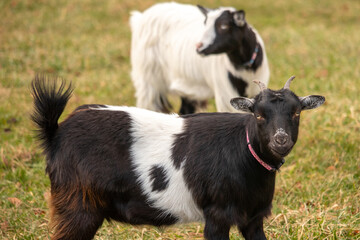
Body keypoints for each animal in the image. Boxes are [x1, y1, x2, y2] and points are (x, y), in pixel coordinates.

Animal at [30, 74, 324, 239]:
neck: (244, 152)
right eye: (259, 114)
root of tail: (57, 133)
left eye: (297, 112)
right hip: (77, 205)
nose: (280, 140)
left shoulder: (252, 217)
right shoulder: (217, 214)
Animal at [130, 1, 270, 114]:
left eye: (224, 26)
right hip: (148, 78)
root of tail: (140, 17)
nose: (198, 47)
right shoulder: (225, 94)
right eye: (205, 23)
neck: (245, 69)